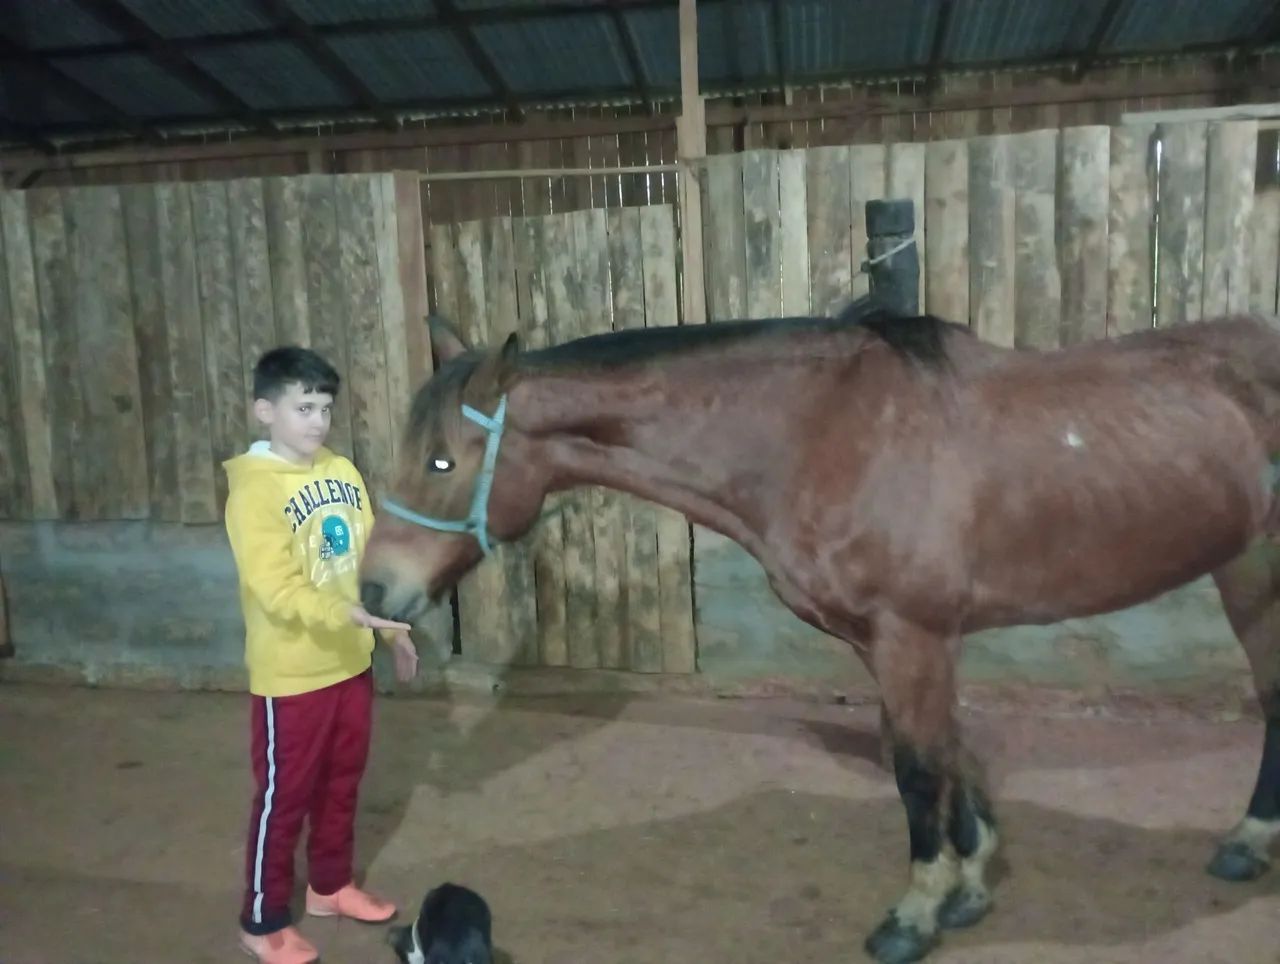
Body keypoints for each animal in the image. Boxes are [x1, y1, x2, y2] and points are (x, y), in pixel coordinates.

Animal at [359, 302, 1280, 964]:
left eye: (443, 461)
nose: (374, 587)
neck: (821, 435)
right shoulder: (893, 643)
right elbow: (941, 753)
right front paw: (969, 885)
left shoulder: (912, 635)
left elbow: (918, 768)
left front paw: (915, 914)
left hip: (1257, 577)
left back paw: (1249, 842)